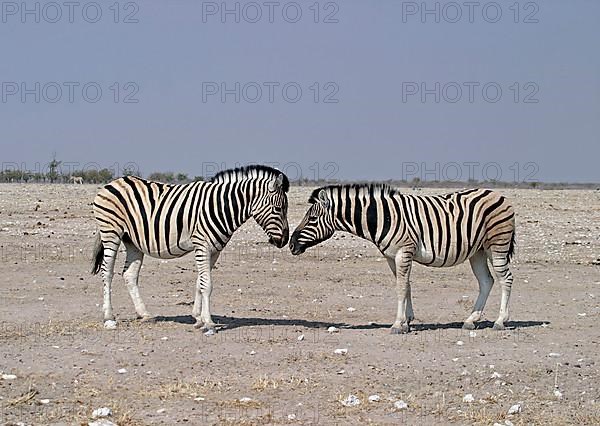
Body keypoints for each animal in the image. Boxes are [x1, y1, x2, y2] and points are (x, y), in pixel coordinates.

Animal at [90, 165, 292, 332]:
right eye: (278, 208)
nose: (284, 241)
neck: (222, 207)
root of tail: (115, 181)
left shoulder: (215, 250)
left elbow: (200, 282)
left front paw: (198, 318)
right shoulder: (202, 244)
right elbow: (207, 284)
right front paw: (208, 323)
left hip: (132, 241)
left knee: (129, 275)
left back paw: (144, 314)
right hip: (111, 231)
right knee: (107, 272)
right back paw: (109, 318)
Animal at [290, 185, 516, 334]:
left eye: (312, 219)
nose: (291, 245)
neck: (381, 217)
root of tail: (498, 194)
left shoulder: (403, 251)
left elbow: (400, 286)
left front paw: (398, 324)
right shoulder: (392, 256)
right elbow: (405, 285)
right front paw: (407, 321)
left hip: (497, 244)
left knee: (506, 279)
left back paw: (500, 321)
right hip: (478, 251)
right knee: (486, 281)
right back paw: (471, 320)